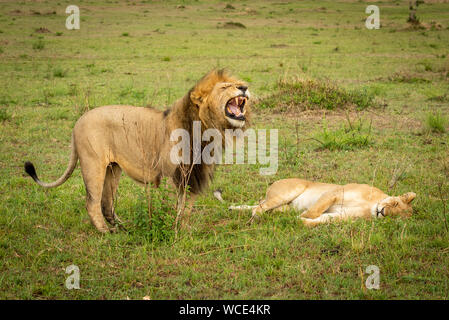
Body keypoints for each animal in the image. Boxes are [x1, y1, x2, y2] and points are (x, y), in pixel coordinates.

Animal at [24, 69, 250, 232]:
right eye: (225, 87)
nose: (244, 87)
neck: (206, 128)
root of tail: (78, 122)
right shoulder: (170, 176)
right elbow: (172, 207)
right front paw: (170, 229)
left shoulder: (194, 175)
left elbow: (186, 209)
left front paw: (184, 230)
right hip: (92, 165)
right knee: (92, 202)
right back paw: (105, 232)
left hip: (113, 169)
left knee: (107, 203)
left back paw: (122, 226)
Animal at [228, 179, 416, 226]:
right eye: (395, 204)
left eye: (395, 217)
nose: (382, 212)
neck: (371, 206)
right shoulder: (335, 192)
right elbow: (316, 210)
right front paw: (303, 216)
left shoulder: (341, 216)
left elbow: (321, 220)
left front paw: (300, 220)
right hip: (291, 190)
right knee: (259, 207)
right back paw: (254, 219)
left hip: (283, 207)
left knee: (259, 206)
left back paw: (232, 208)